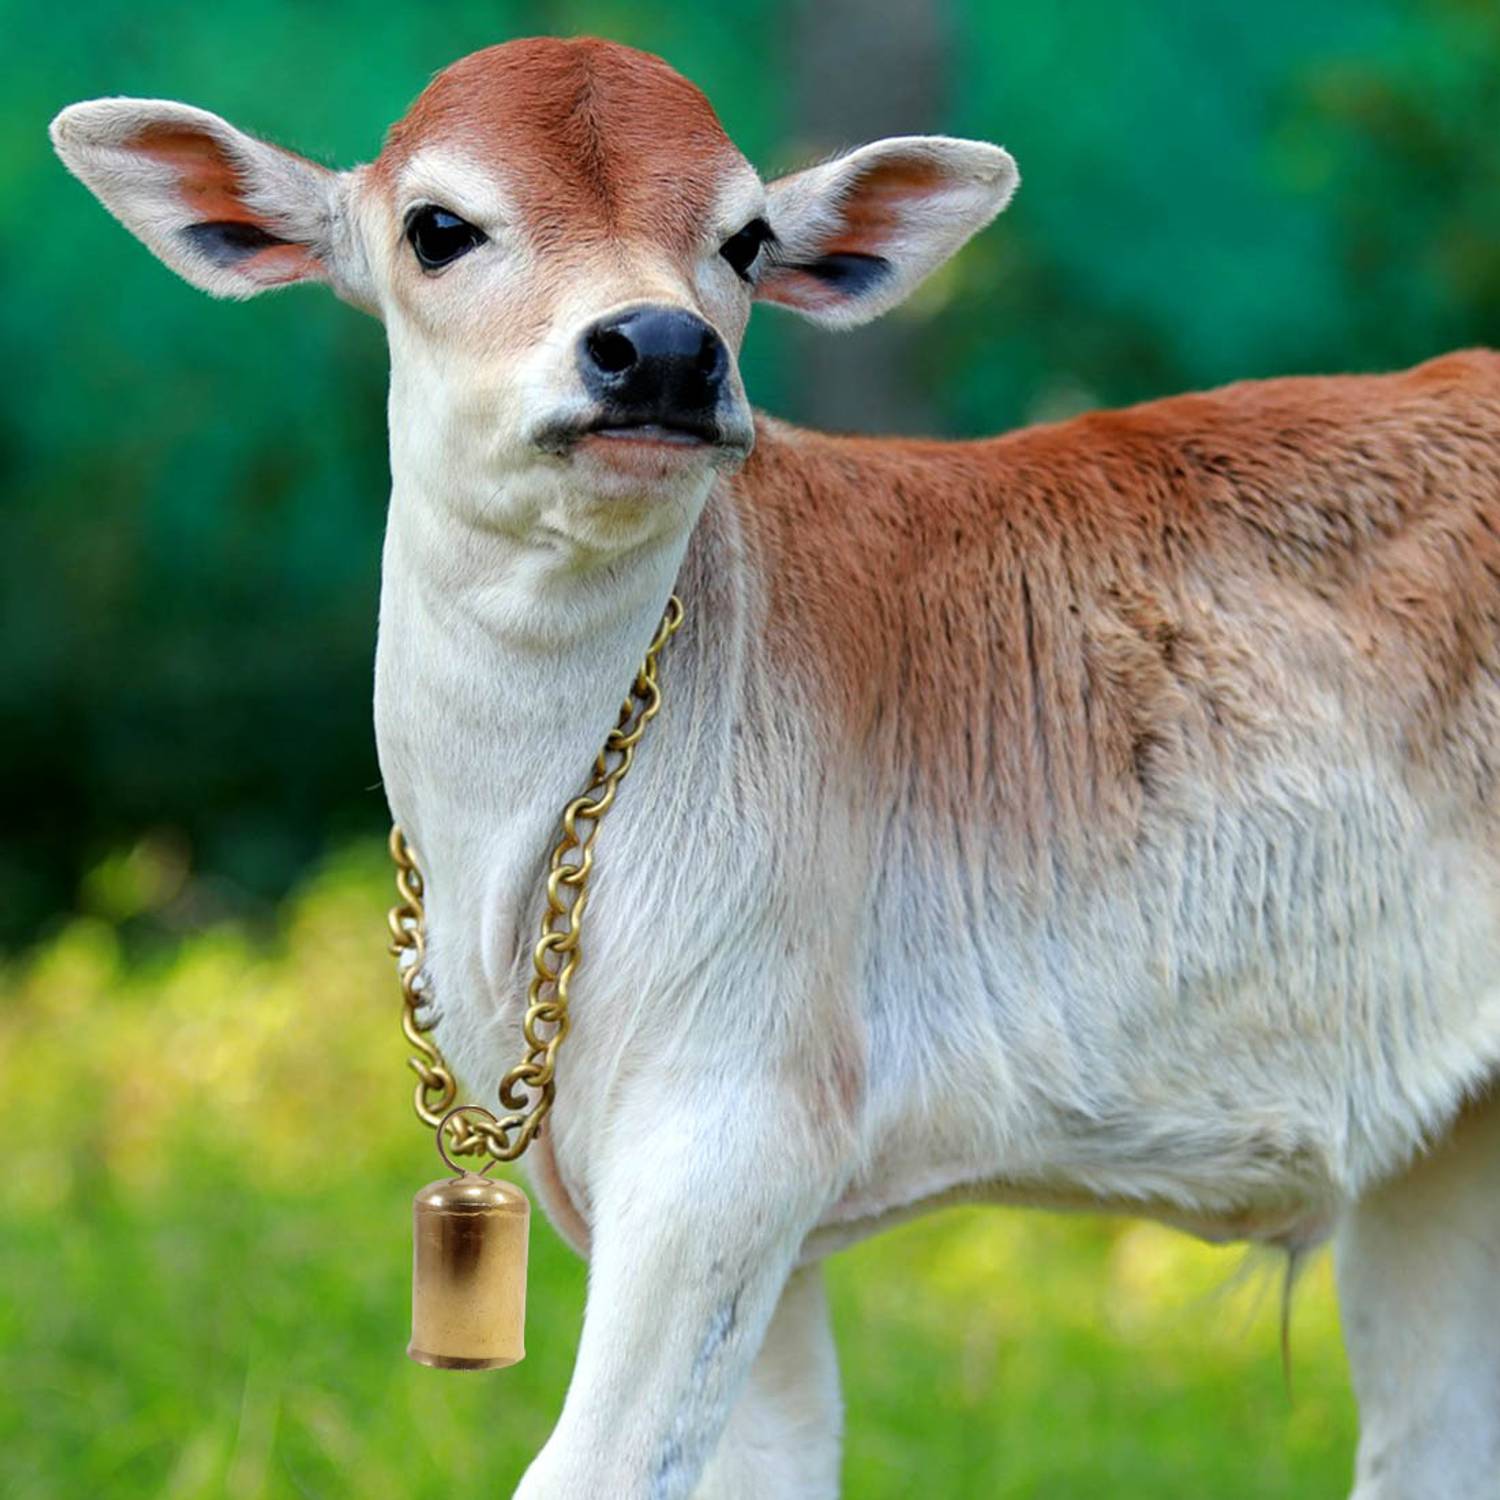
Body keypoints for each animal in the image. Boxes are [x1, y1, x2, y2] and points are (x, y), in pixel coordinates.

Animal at [51, 35, 1500, 1499]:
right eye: (438, 228)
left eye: (746, 240)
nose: (662, 349)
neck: (506, 861)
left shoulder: (730, 1133)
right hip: (1445, 1163)